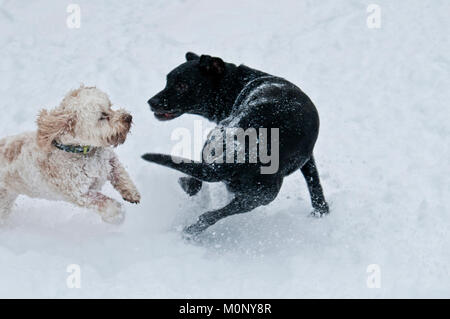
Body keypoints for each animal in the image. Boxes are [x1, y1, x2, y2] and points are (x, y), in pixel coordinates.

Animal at [0, 86, 141, 224]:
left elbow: (120, 174)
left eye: (110, 106)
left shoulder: (109, 160)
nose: (128, 117)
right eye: (102, 116)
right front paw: (118, 214)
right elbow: (102, 202)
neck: (81, 151)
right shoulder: (79, 193)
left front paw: (130, 192)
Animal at [142, 53, 328, 235]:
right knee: (211, 211)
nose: (151, 102)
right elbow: (314, 180)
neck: (238, 83)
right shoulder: (307, 158)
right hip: (260, 194)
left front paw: (321, 211)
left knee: (207, 208)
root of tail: (245, 151)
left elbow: (314, 181)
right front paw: (321, 210)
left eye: (182, 85)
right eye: (167, 81)